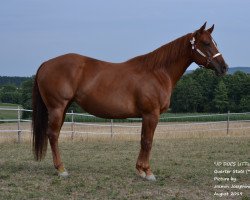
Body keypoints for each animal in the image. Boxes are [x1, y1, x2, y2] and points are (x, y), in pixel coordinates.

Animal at [32, 22, 228, 180]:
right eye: (206, 43)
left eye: (215, 42)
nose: (224, 67)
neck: (157, 72)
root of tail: (46, 63)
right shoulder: (151, 114)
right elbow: (148, 141)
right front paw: (148, 172)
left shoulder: (146, 116)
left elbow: (142, 140)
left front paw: (140, 170)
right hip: (57, 108)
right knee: (53, 135)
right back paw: (61, 170)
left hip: (63, 109)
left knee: (54, 135)